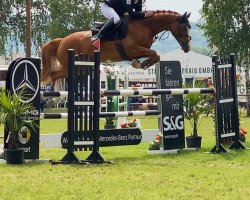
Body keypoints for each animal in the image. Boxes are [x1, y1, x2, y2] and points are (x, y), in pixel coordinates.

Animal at [40, 10, 191, 85]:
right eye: (184, 27)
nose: (187, 48)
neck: (145, 26)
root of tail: (62, 40)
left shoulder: (138, 51)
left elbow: (155, 55)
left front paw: (142, 64)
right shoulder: (132, 50)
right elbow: (155, 52)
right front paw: (141, 64)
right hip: (69, 66)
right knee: (53, 75)